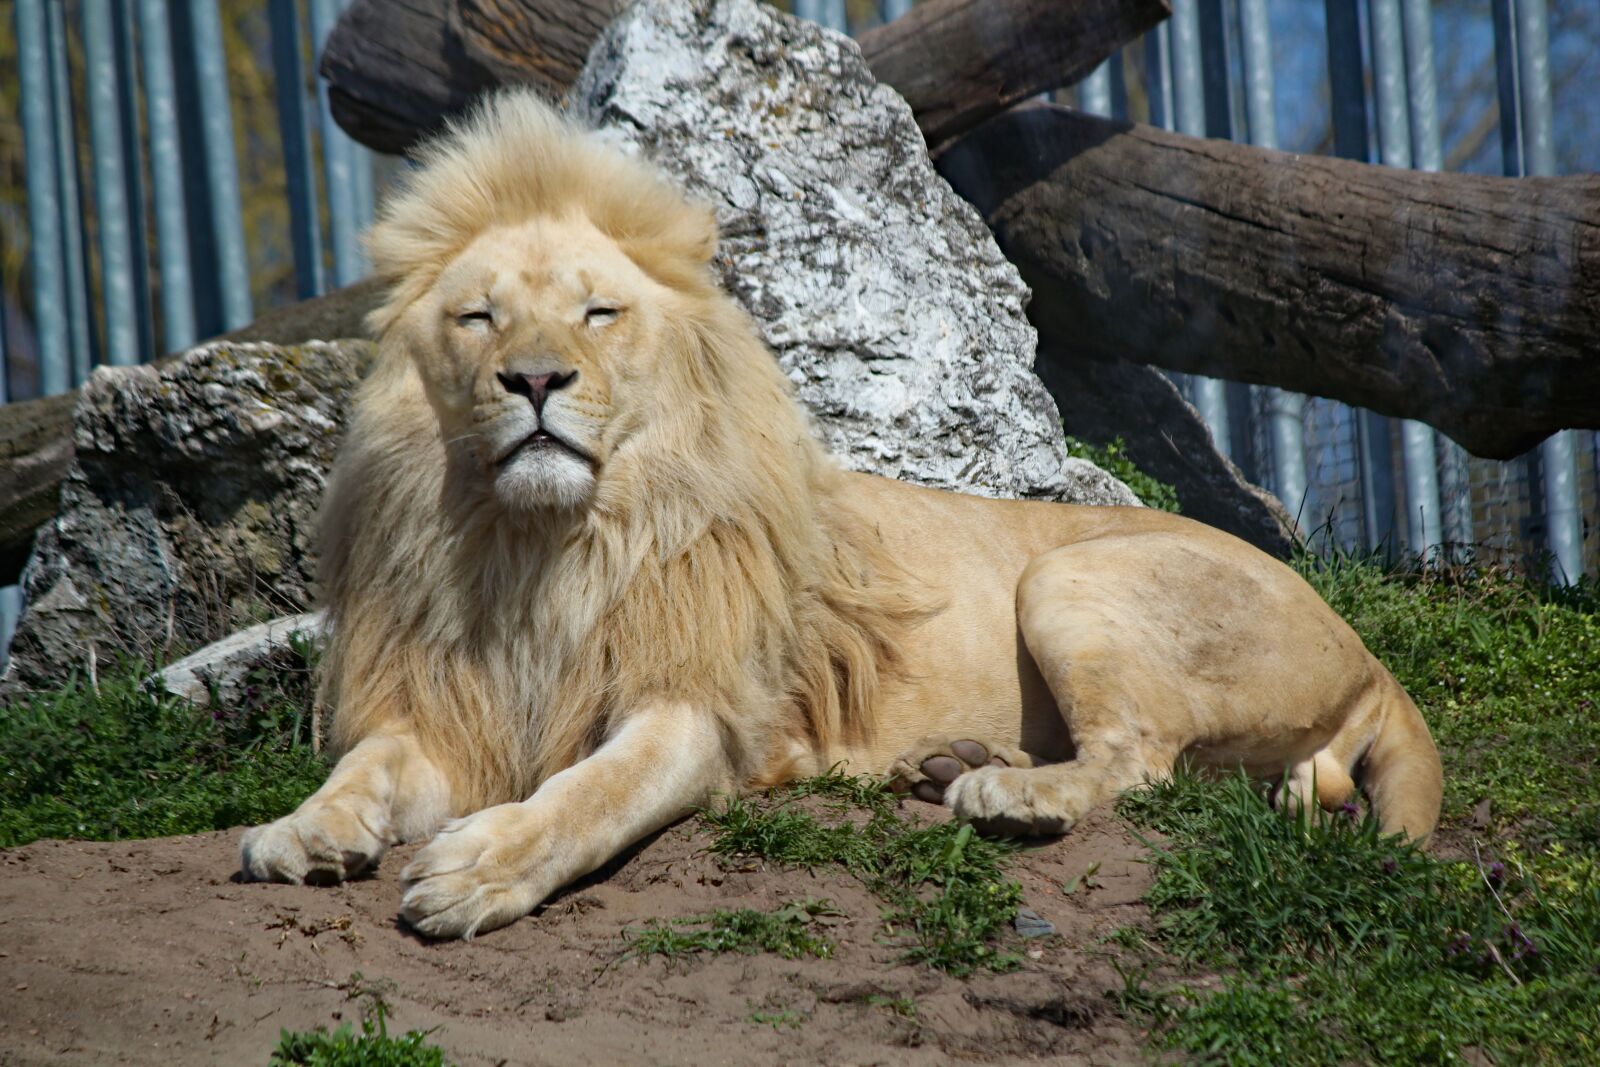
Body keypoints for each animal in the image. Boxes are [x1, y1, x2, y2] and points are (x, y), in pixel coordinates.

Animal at [239, 90, 1443, 939]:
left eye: (599, 312)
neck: (543, 543)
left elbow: (590, 794)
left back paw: (1006, 794)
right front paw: (299, 830)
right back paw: (949, 765)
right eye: (479, 318)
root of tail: (1373, 659)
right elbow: (365, 768)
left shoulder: (697, 708)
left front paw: (479, 869)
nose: (534, 380)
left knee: (1136, 760)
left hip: (1072, 577)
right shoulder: (451, 713)